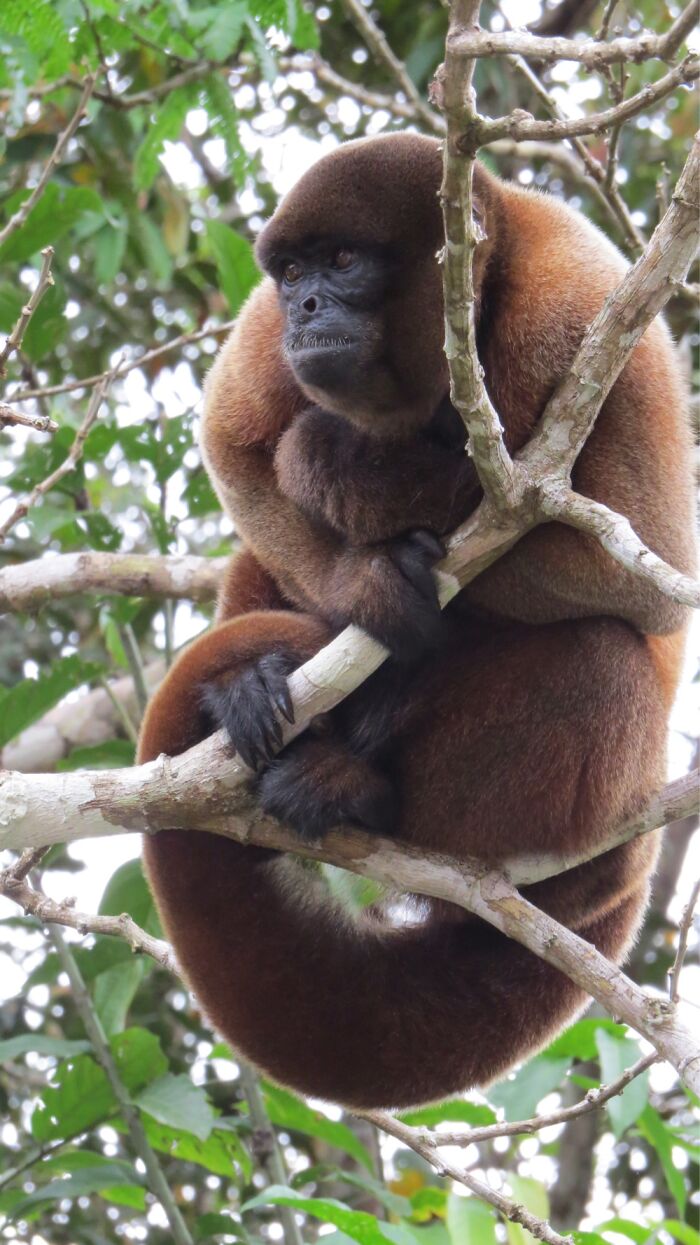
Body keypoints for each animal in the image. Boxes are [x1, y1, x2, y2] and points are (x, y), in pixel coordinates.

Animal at [138, 134, 695, 1110]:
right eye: (291, 273)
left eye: (344, 261)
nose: (307, 306)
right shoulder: (265, 338)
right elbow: (234, 447)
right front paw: (360, 587)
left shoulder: (575, 314)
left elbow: (649, 566)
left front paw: (351, 471)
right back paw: (252, 696)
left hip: (594, 834)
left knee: (603, 657)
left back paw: (358, 786)